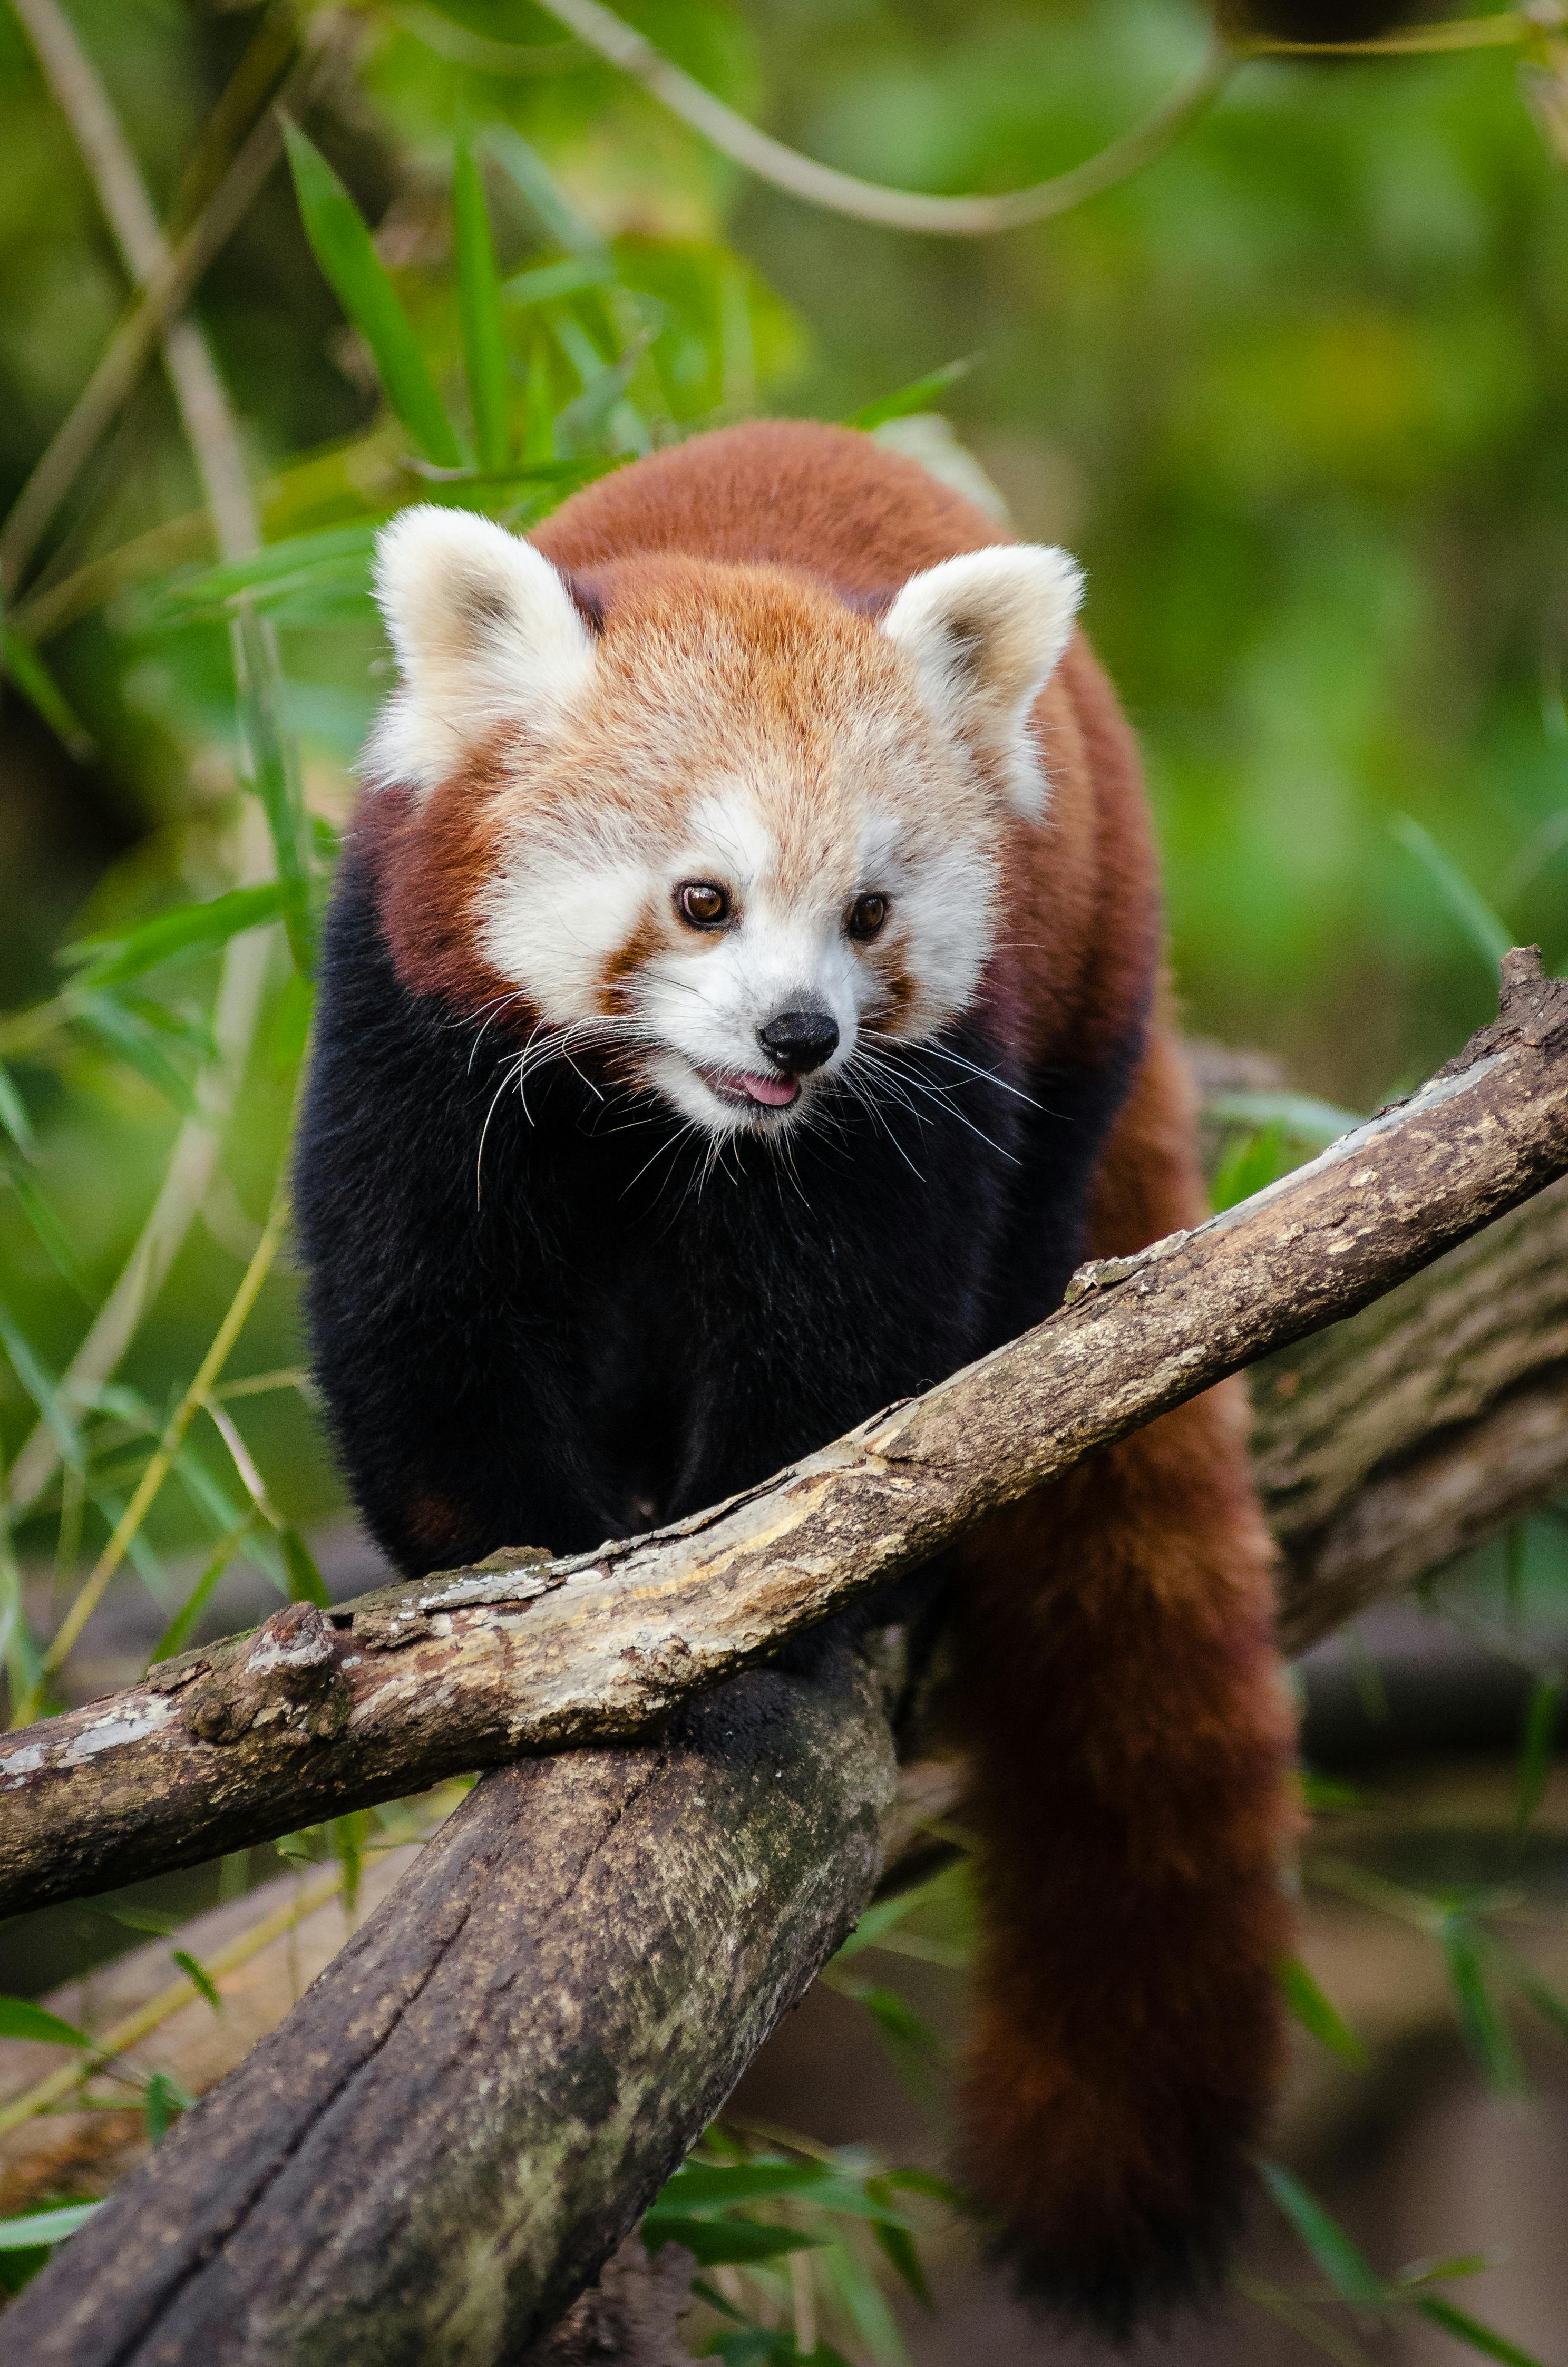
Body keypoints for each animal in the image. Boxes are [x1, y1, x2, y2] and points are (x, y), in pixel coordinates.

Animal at [298, 421, 1298, 2329]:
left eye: (866, 912)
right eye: (700, 900)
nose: (797, 1034)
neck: (670, 1117)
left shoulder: (922, 1091)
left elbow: (845, 1358)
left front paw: (755, 1595)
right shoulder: (414, 1014)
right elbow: (426, 1314)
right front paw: (533, 1575)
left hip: (1082, 1010)